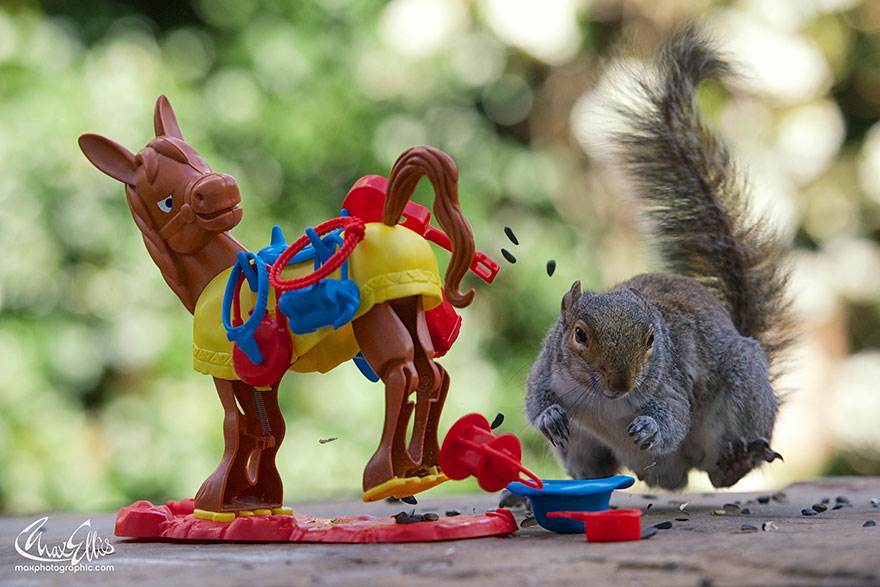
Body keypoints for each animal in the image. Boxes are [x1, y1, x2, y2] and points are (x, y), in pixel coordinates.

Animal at [525, 27, 797, 490]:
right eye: (578, 335)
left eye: (651, 340)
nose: (621, 383)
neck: (604, 400)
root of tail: (669, 476)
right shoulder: (546, 367)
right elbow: (533, 400)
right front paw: (549, 416)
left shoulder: (671, 382)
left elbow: (672, 417)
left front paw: (650, 428)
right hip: (581, 445)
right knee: (593, 468)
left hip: (742, 392)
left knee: (719, 473)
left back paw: (737, 461)